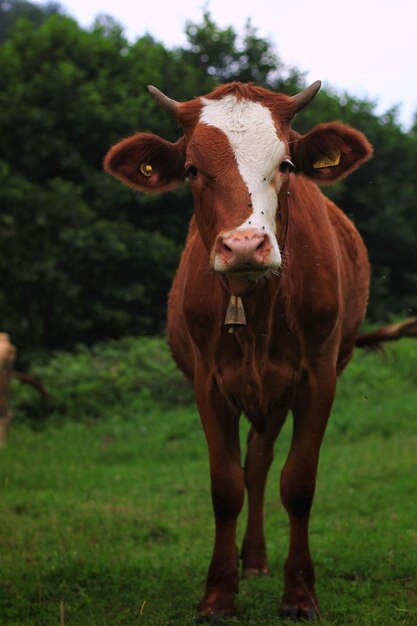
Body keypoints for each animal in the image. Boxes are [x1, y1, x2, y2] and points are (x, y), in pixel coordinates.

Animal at [105, 81, 412, 620]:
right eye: (192, 169)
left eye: (286, 163)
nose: (246, 245)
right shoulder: (208, 382)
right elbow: (225, 485)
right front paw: (218, 594)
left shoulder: (317, 378)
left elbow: (299, 482)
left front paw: (300, 593)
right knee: (252, 465)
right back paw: (246, 561)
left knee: (264, 461)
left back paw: (258, 559)